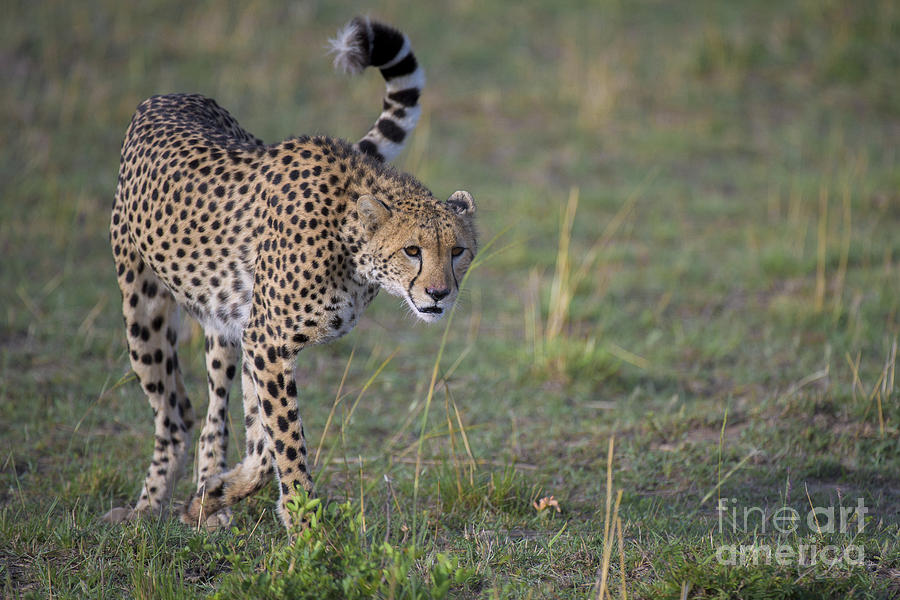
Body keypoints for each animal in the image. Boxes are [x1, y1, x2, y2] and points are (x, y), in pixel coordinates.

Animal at [103, 16, 478, 528]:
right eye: (413, 251)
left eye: (457, 250)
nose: (439, 294)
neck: (349, 239)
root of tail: (168, 95)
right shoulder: (267, 340)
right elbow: (284, 438)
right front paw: (304, 524)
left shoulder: (259, 339)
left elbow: (265, 444)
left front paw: (219, 491)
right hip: (142, 306)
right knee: (174, 415)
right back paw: (147, 507)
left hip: (222, 328)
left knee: (211, 416)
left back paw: (206, 503)